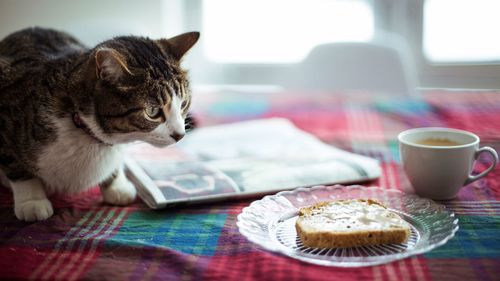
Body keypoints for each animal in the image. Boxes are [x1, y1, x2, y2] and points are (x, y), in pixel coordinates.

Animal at [0, 27, 199, 221]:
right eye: (152, 111)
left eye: (183, 104)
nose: (180, 135)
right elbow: (15, 166)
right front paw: (32, 200)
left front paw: (116, 186)